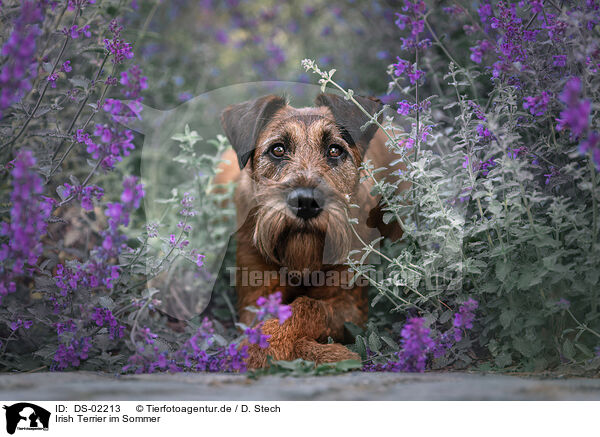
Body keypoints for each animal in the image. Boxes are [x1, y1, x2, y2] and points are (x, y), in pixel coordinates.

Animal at [216, 93, 404, 368]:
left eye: (334, 150)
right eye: (278, 149)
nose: (305, 202)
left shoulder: (350, 306)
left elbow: (308, 307)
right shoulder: (255, 296)